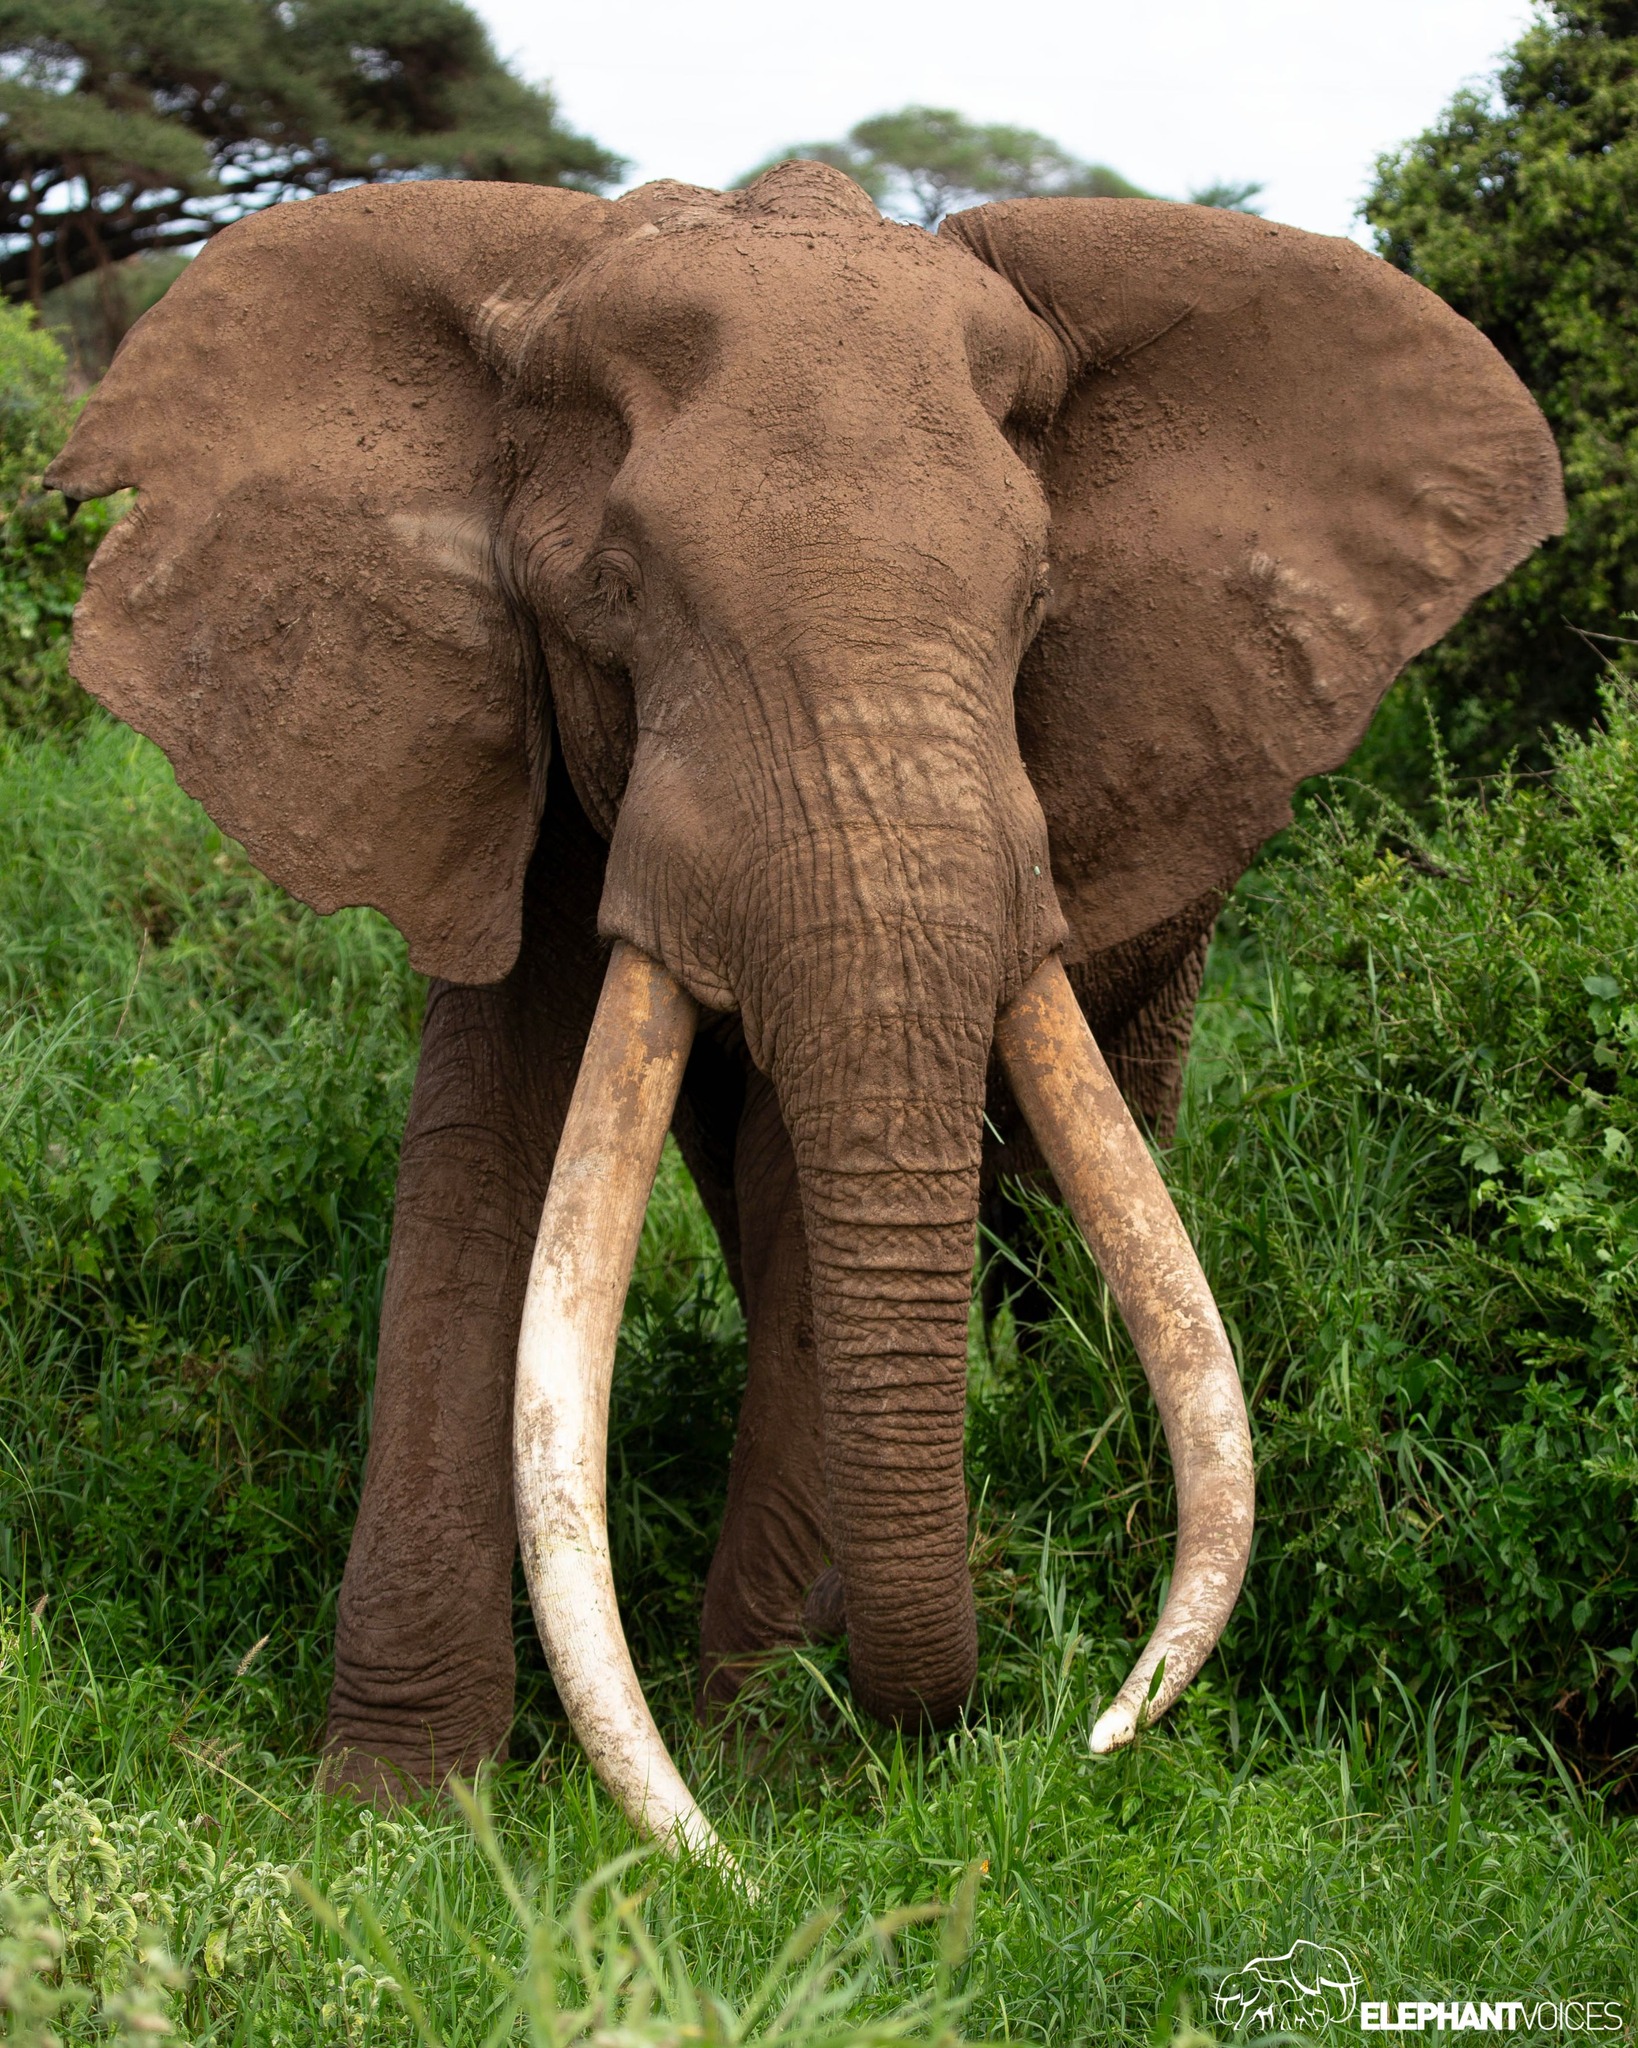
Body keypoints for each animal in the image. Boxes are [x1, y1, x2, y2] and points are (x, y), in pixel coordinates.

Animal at [47, 159, 1562, 1856]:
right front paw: (400, 1814)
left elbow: (793, 1193)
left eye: (1039, 599)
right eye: (611, 593)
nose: (1050, 1731)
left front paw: (769, 1774)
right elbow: (478, 1164)